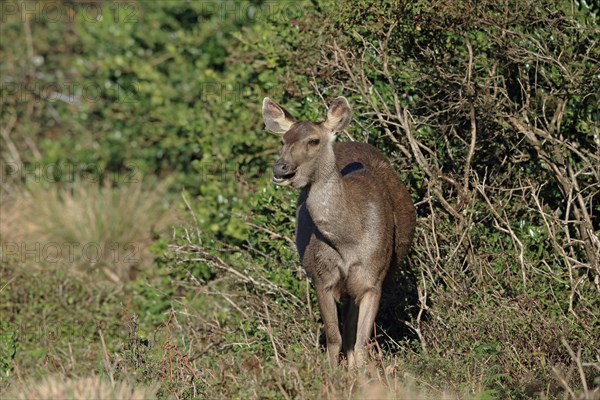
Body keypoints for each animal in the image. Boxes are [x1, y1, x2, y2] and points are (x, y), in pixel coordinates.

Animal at [264, 96, 418, 366]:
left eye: (313, 141)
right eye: (283, 140)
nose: (281, 168)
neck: (348, 241)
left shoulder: (372, 278)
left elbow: (361, 342)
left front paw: (362, 373)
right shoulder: (321, 276)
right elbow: (334, 339)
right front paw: (332, 372)